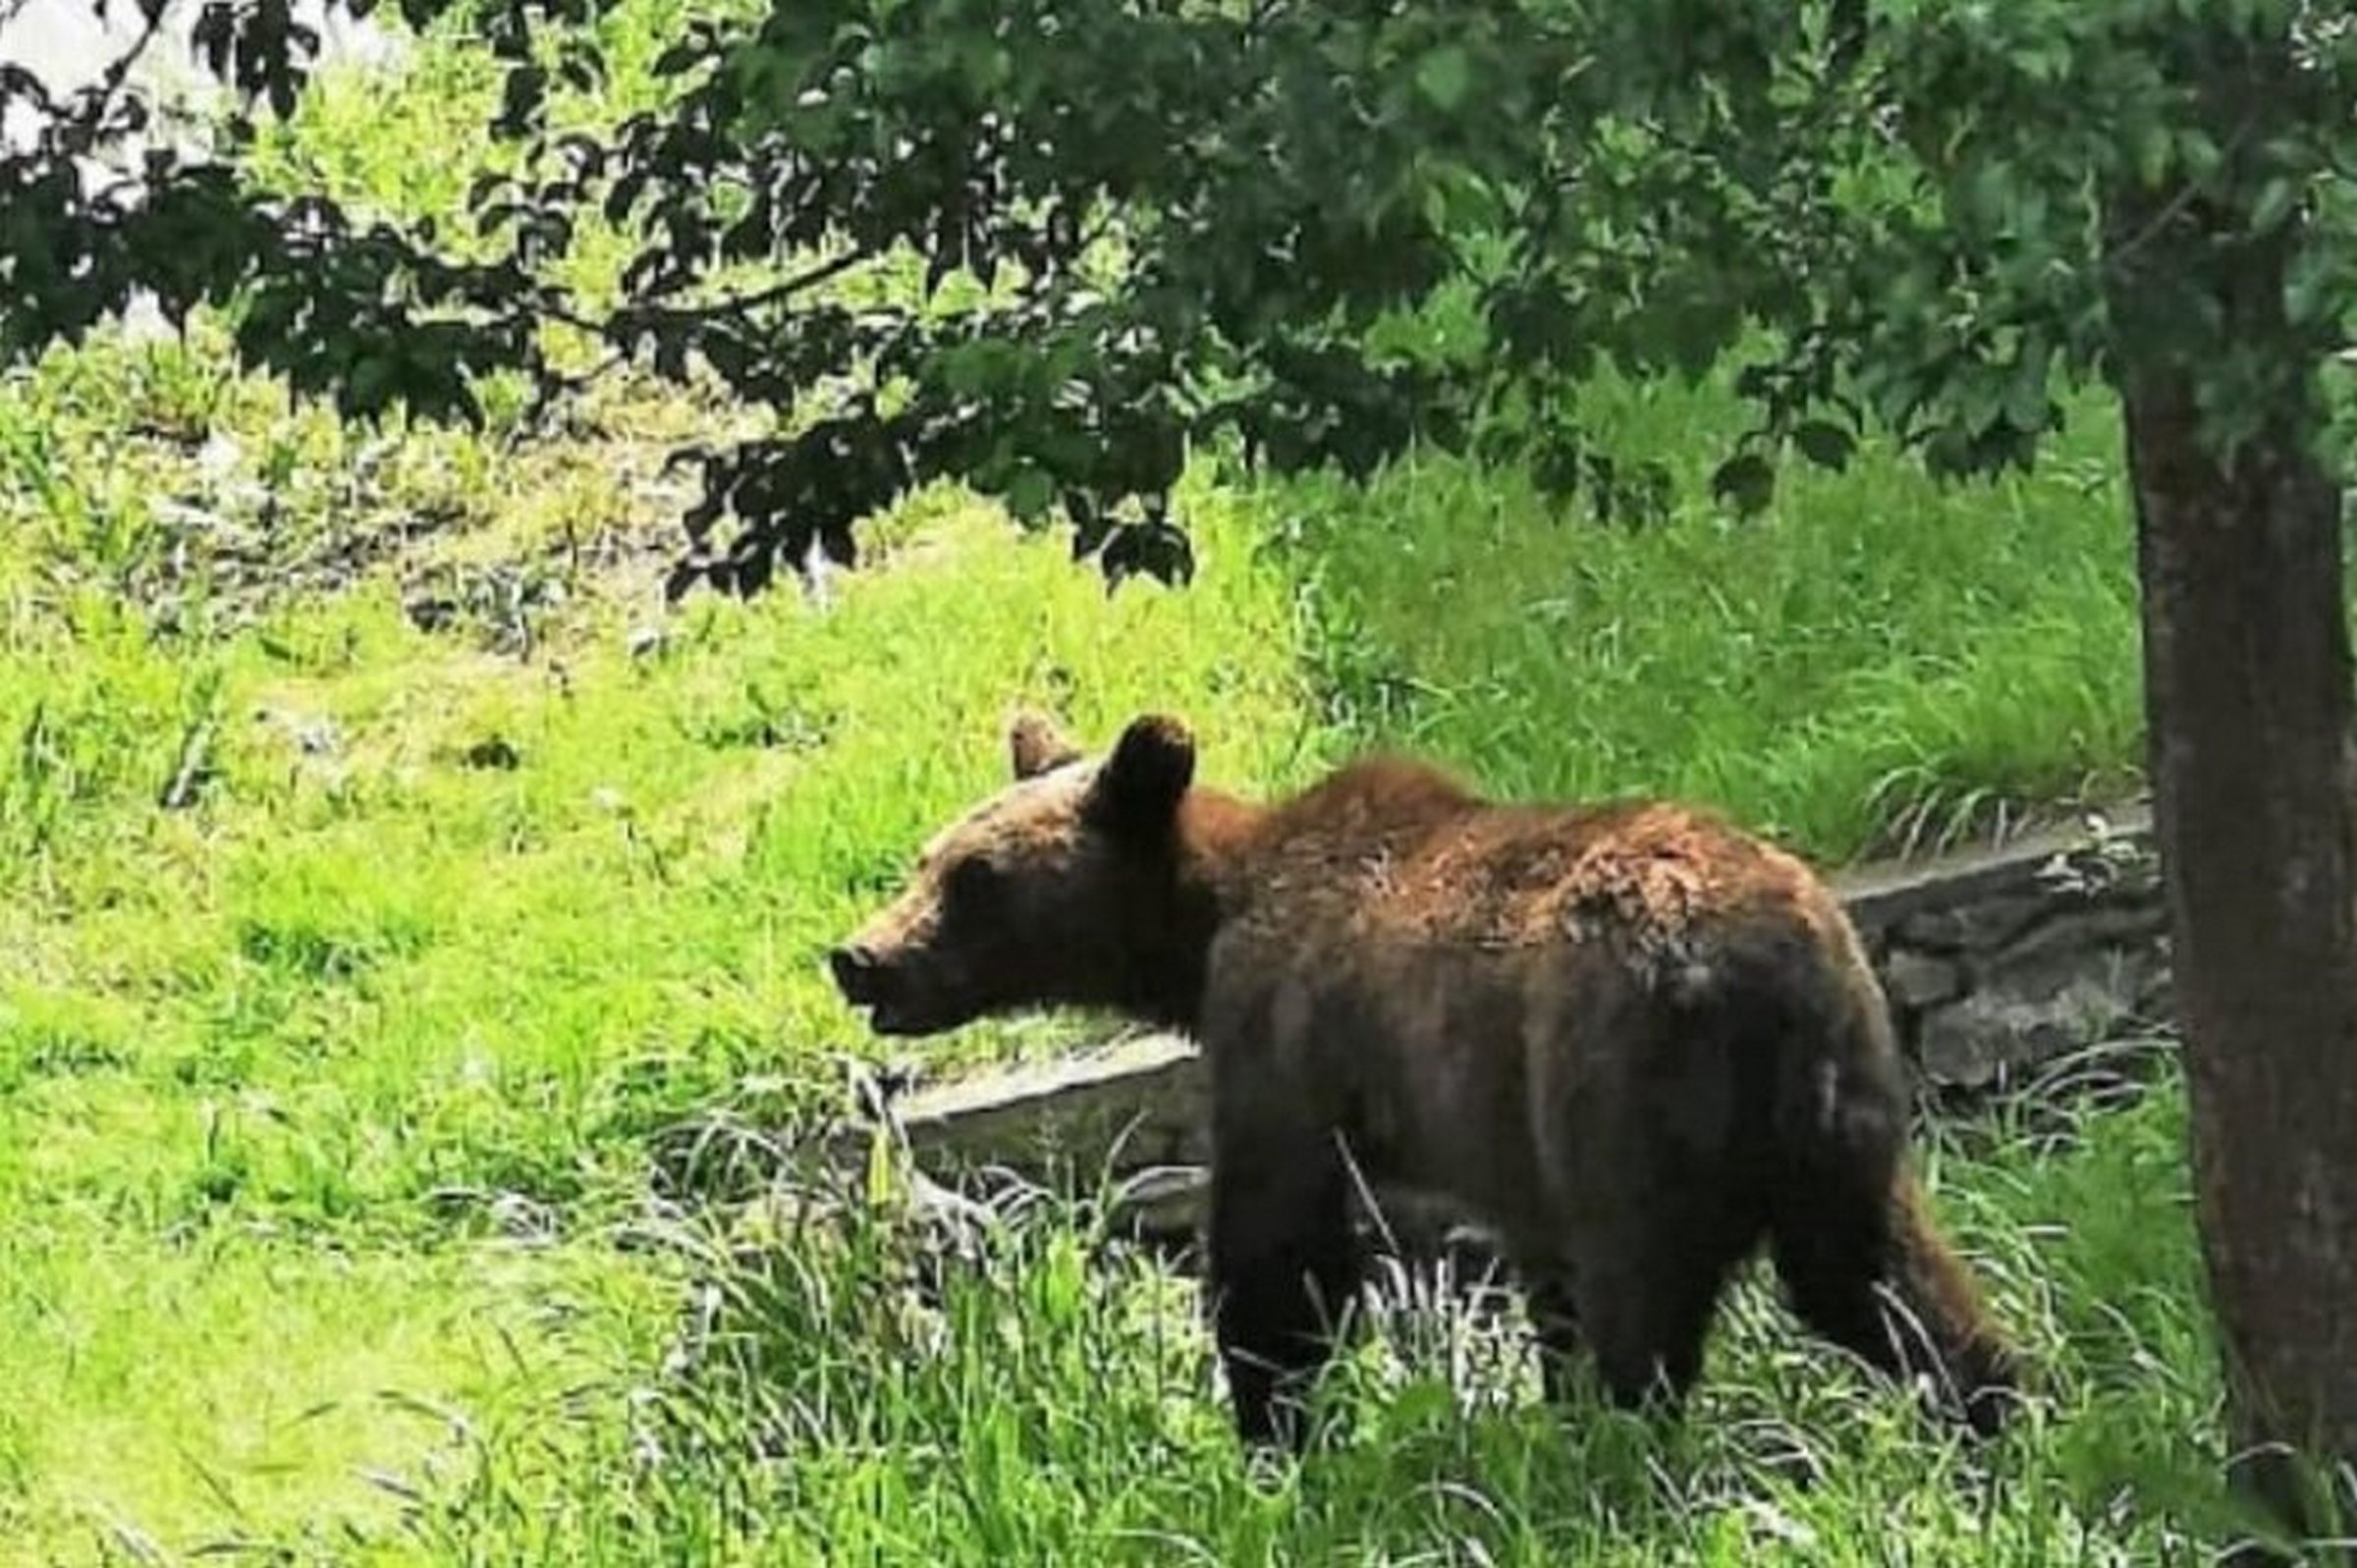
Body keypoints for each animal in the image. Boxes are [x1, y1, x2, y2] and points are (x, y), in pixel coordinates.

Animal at [834, 707, 2027, 1442]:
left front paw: (1271, 1427)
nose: (859, 956)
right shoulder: (1510, 1138)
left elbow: (1281, 1252)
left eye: (975, 878)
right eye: (928, 856)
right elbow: (1538, 1275)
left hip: (1623, 1085)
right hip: (1840, 1093)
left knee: (1642, 1294)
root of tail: (1750, 968)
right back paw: (1994, 1409)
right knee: (1877, 1275)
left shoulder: (1281, 1042)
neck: (1204, 927)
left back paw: (1628, 1455)